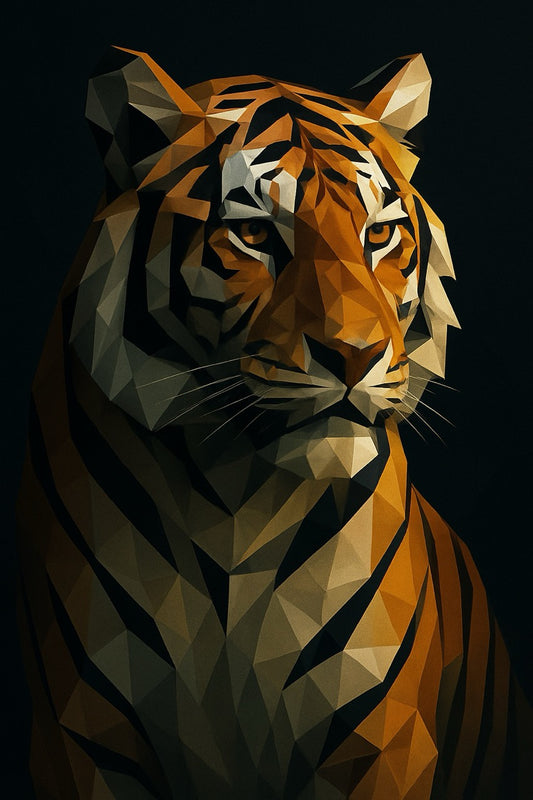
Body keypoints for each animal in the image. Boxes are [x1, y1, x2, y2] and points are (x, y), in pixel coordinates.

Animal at [16, 46, 531, 799]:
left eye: (379, 235)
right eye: (255, 233)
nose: (355, 356)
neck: (235, 505)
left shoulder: (380, 736)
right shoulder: (82, 731)